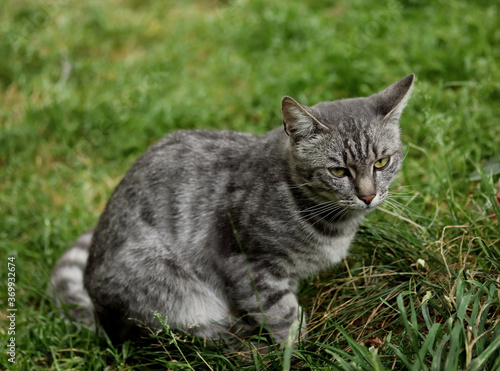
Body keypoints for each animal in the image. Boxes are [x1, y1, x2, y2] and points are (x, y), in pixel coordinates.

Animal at [49, 74, 414, 348]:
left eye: (382, 162)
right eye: (338, 171)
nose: (368, 196)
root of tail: (99, 317)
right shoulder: (248, 264)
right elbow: (283, 315)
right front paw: (298, 350)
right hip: (170, 289)